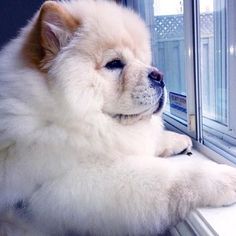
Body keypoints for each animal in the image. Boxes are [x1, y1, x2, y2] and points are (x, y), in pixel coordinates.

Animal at [0, 0, 236, 236]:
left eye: (142, 59)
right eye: (114, 64)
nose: (160, 75)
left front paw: (177, 139)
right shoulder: (73, 186)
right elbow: (168, 175)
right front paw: (223, 177)